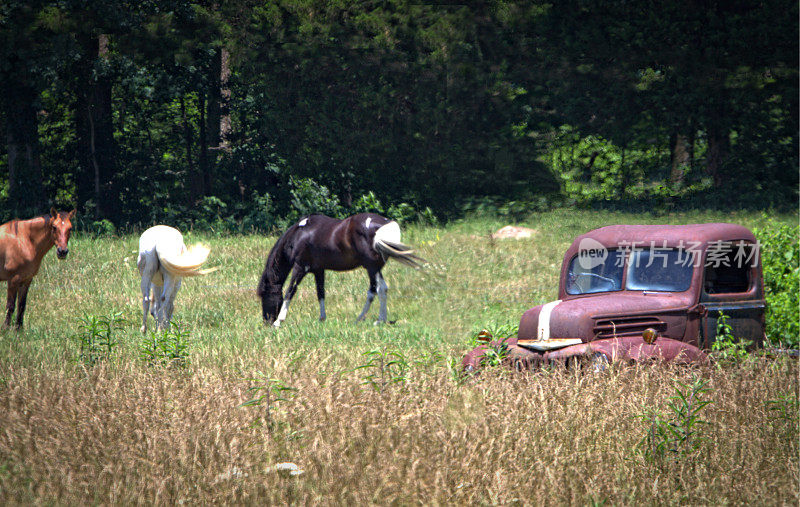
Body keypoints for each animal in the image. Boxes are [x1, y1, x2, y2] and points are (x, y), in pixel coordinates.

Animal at [260, 213, 428, 326]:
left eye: (263, 296)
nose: (266, 321)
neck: (299, 233)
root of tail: (385, 224)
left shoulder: (300, 267)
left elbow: (290, 291)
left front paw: (279, 321)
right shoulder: (318, 270)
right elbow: (320, 293)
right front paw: (322, 318)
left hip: (371, 268)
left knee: (376, 290)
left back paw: (370, 319)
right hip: (375, 268)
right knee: (380, 290)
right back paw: (373, 319)